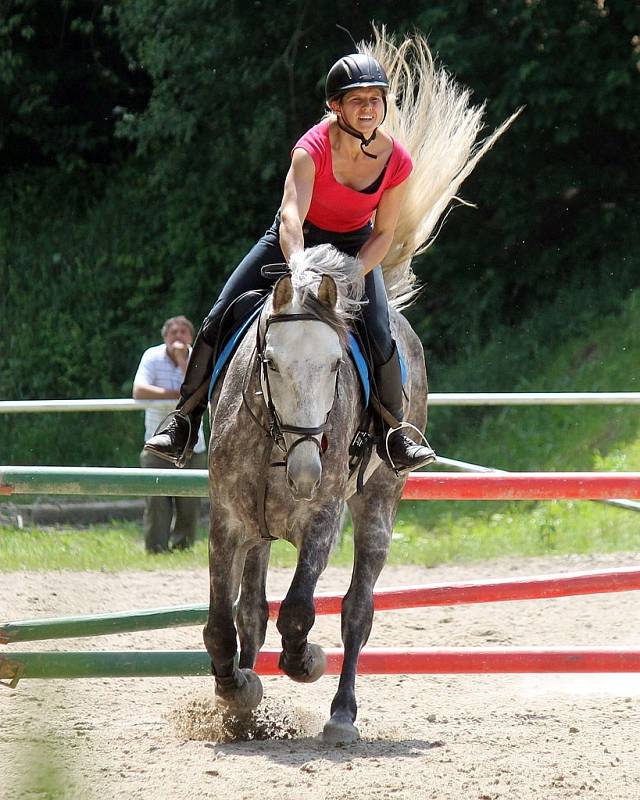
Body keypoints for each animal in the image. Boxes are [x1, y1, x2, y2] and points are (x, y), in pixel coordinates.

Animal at [202, 244, 428, 744]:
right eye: (269, 362)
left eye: (336, 365)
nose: (306, 474)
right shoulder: (228, 522)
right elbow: (221, 626)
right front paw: (239, 694)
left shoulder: (322, 520)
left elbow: (297, 611)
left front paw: (307, 661)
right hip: (259, 532)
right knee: (251, 613)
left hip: (379, 505)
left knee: (357, 611)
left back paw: (342, 714)